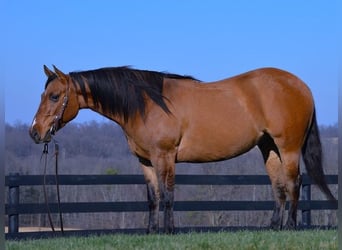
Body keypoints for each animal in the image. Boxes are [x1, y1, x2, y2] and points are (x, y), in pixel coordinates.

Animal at [28, 65, 334, 233]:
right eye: (43, 94)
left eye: (54, 96)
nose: (35, 132)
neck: (146, 104)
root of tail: (301, 86)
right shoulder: (145, 161)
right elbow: (152, 197)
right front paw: (151, 231)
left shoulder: (164, 156)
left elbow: (168, 195)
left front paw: (169, 230)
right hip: (268, 147)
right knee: (278, 185)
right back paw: (273, 226)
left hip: (288, 146)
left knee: (294, 183)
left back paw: (290, 226)